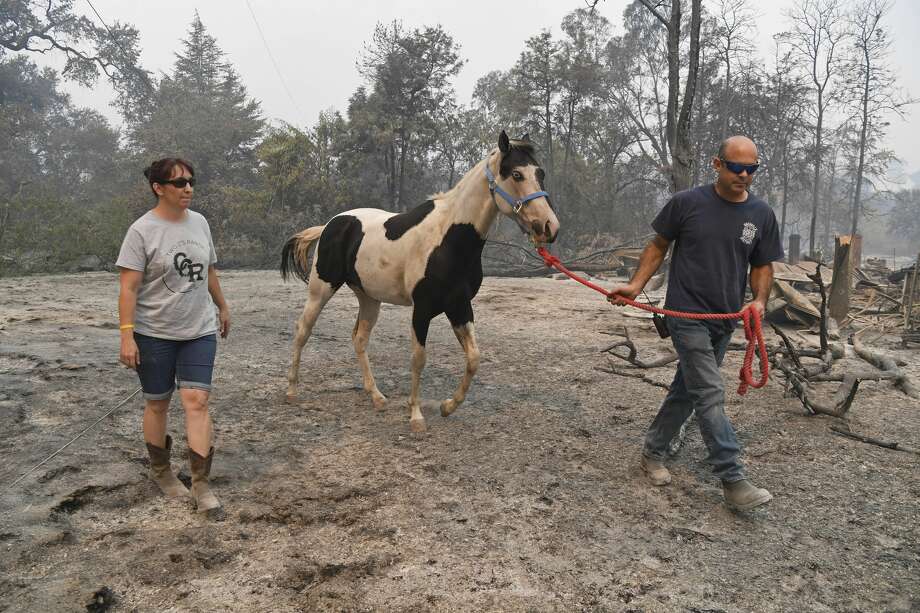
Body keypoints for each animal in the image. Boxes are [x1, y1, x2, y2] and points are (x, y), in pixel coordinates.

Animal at [276, 131, 556, 432]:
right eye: (516, 174)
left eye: (540, 173)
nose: (549, 226)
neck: (447, 239)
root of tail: (331, 223)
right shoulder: (422, 309)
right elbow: (418, 359)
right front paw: (416, 416)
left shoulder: (459, 306)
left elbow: (474, 358)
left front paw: (447, 406)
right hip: (321, 289)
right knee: (303, 330)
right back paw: (291, 391)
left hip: (369, 298)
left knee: (360, 339)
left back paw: (376, 396)